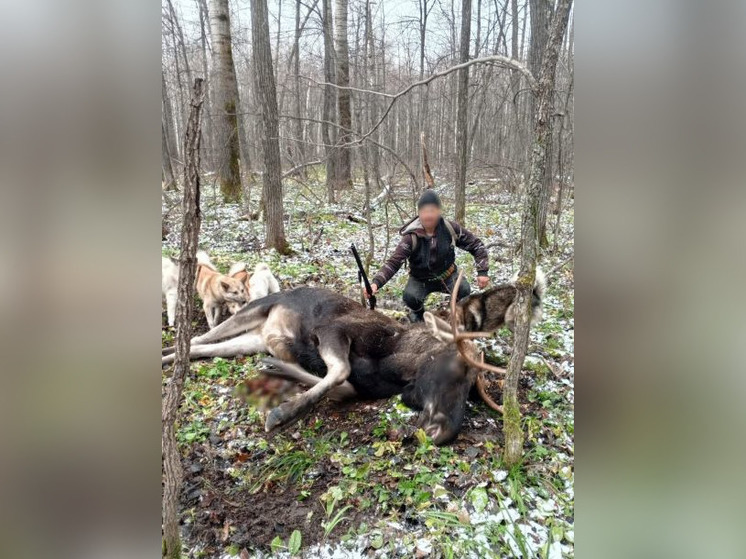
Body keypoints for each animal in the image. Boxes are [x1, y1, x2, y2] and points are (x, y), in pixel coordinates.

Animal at [163, 272, 544, 446]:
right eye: (455, 368)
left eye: (473, 392)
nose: (444, 432)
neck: (394, 365)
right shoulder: (332, 330)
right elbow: (341, 369)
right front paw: (281, 412)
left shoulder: (357, 383)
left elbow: (340, 384)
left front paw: (278, 368)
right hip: (253, 310)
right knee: (197, 338)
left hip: (251, 338)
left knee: (199, 348)